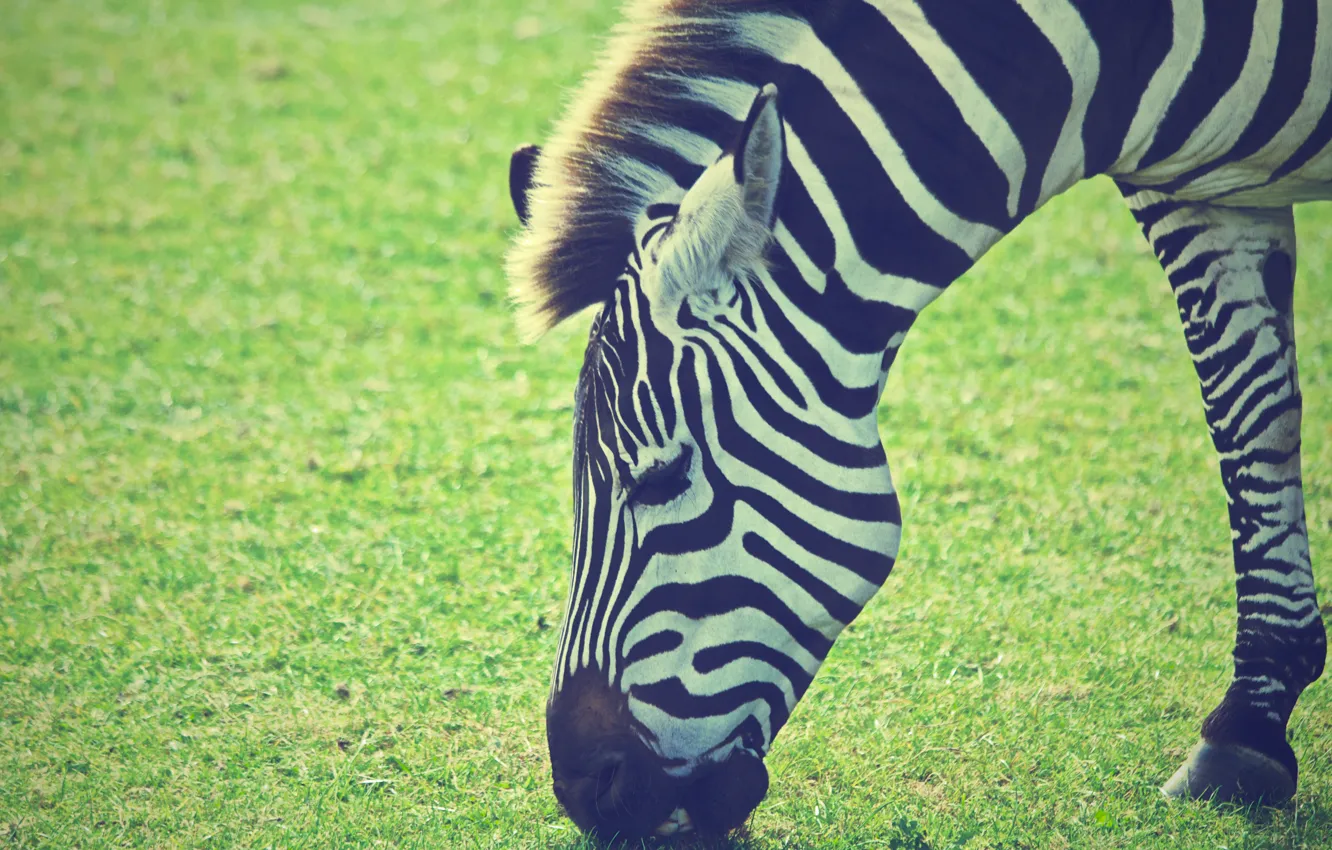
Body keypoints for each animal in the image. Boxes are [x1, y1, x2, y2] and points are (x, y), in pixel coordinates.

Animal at [506, 0, 1330, 838]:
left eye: (663, 477)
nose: (584, 791)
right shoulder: (1197, 195)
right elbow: (1251, 414)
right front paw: (1251, 726)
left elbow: (1252, 412)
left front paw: (1248, 726)